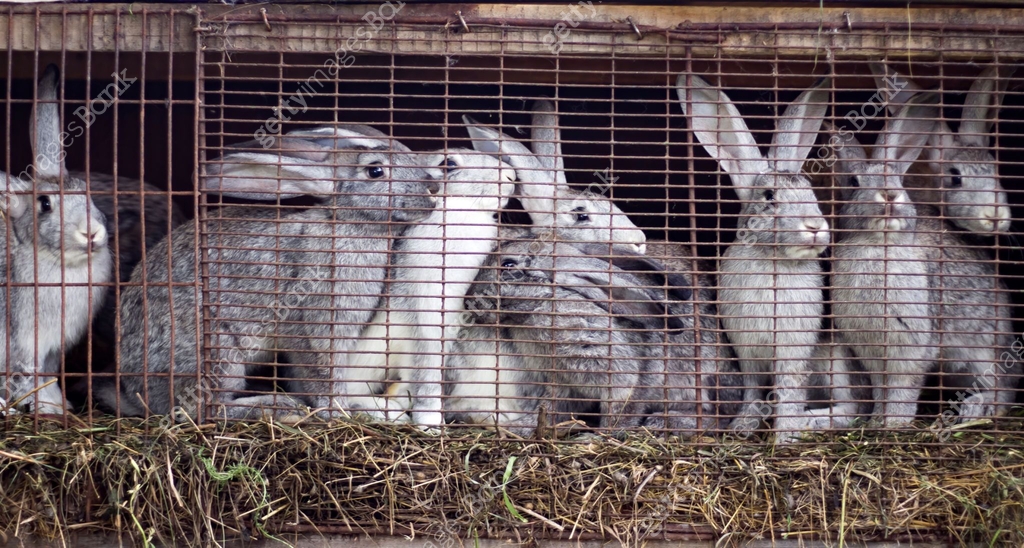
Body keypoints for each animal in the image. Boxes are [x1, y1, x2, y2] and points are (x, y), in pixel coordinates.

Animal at [95, 126, 439, 420]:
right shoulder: (315, 326)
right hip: (218, 351)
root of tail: (138, 391)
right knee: (202, 410)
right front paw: (339, 411)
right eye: (375, 171)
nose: (432, 189)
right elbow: (323, 374)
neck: (347, 224)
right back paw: (276, 407)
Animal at [444, 235, 742, 437]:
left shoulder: (621, 375)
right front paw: (520, 428)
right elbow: (549, 410)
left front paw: (596, 437)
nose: (469, 302)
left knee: (720, 415)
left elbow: (621, 410)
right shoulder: (562, 385)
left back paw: (663, 422)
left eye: (507, 264)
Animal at [678, 73, 833, 442]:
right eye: (769, 196)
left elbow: (789, 391)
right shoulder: (745, 349)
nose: (815, 226)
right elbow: (752, 389)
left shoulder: (793, 352)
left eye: (810, 190)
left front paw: (786, 436)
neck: (774, 261)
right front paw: (743, 426)